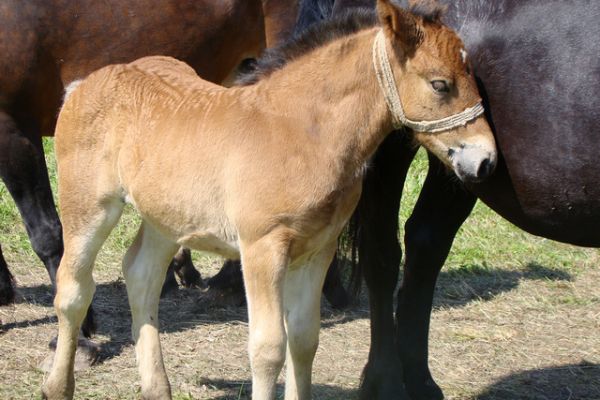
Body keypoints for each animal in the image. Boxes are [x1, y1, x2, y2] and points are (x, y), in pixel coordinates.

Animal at [42, 1, 496, 398]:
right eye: (440, 84)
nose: (486, 160)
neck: (303, 132)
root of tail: (85, 82)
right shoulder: (262, 247)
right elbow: (268, 348)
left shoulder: (318, 249)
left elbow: (304, 339)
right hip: (89, 205)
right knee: (74, 290)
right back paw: (57, 386)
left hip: (166, 218)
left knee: (142, 276)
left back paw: (156, 390)